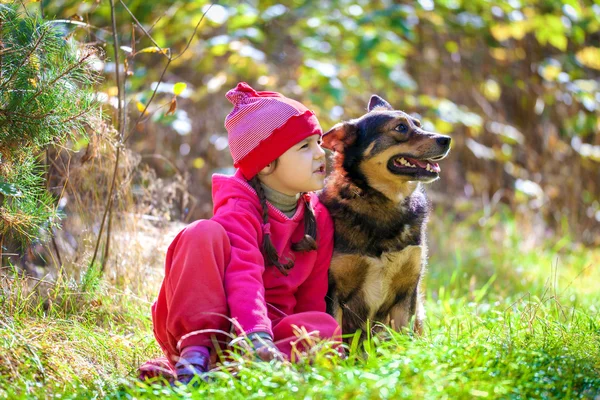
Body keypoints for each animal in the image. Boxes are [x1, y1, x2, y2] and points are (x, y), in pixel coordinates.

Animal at [318, 95, 450, 336]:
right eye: (400, 128)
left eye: (418, 124)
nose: (446, 139)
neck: (384, 201)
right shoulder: (332, 292)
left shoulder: (406, 292)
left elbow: (403, 339)